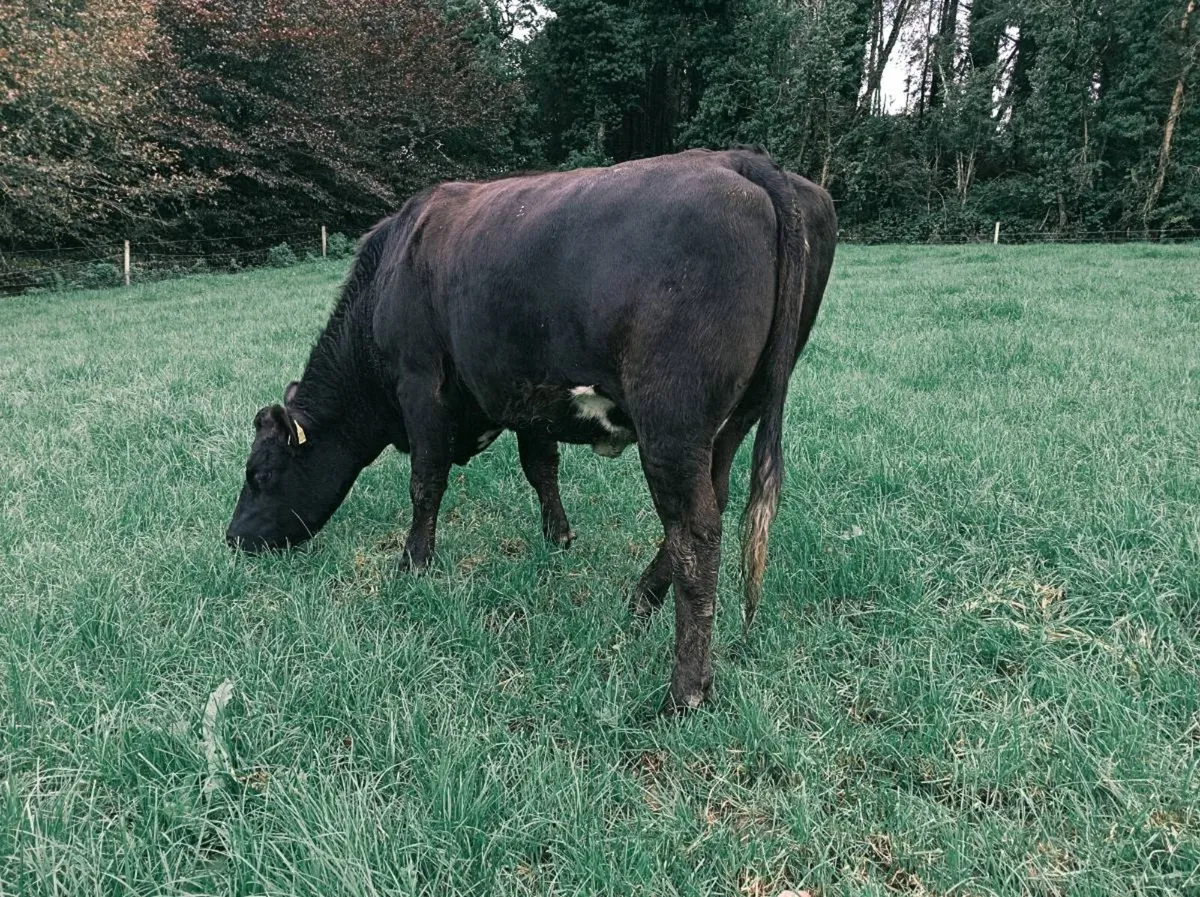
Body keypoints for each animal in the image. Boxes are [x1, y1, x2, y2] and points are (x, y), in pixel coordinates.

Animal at [226, 147, 837, 713]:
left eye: (260, 473)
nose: (233, 538)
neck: (392, 270)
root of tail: (738, 160)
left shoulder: (419, 382)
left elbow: (426, 480)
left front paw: (413, 562)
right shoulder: (530, 393)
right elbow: (541, 467)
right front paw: (557, 538)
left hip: (672, 421)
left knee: (695, 533)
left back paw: (683, 691)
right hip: (739, 413)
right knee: (715, 499)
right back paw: (640, 600)